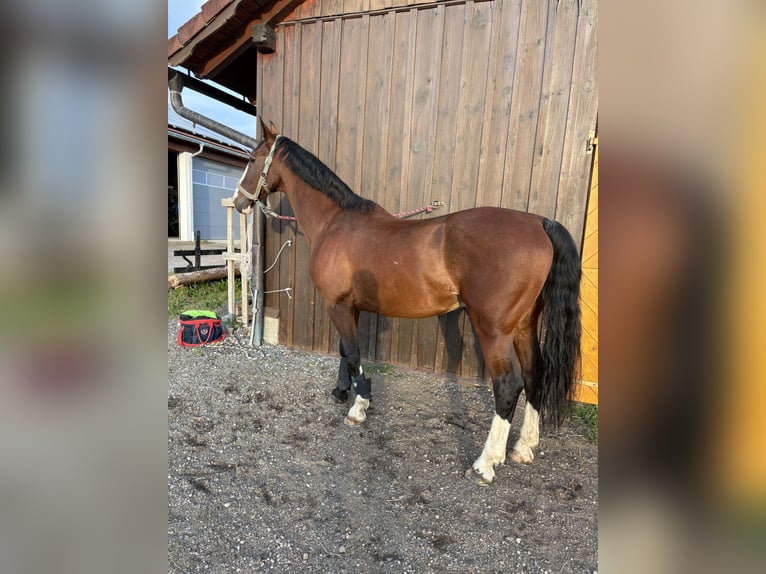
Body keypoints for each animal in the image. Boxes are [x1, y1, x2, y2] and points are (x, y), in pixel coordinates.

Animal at [233, 117, 582, 485]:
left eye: (252, 159)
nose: (239, 201)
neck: (336, 222)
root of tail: (538, 223)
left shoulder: (337, 305)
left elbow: (353, 352)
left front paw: (358, 407)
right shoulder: (349, 307)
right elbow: (345, 351)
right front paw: (342, 392)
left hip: (494, 330)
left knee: (508, 385)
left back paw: (485, 463)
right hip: (524, 326)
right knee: (534, 375)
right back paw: (523, 447)